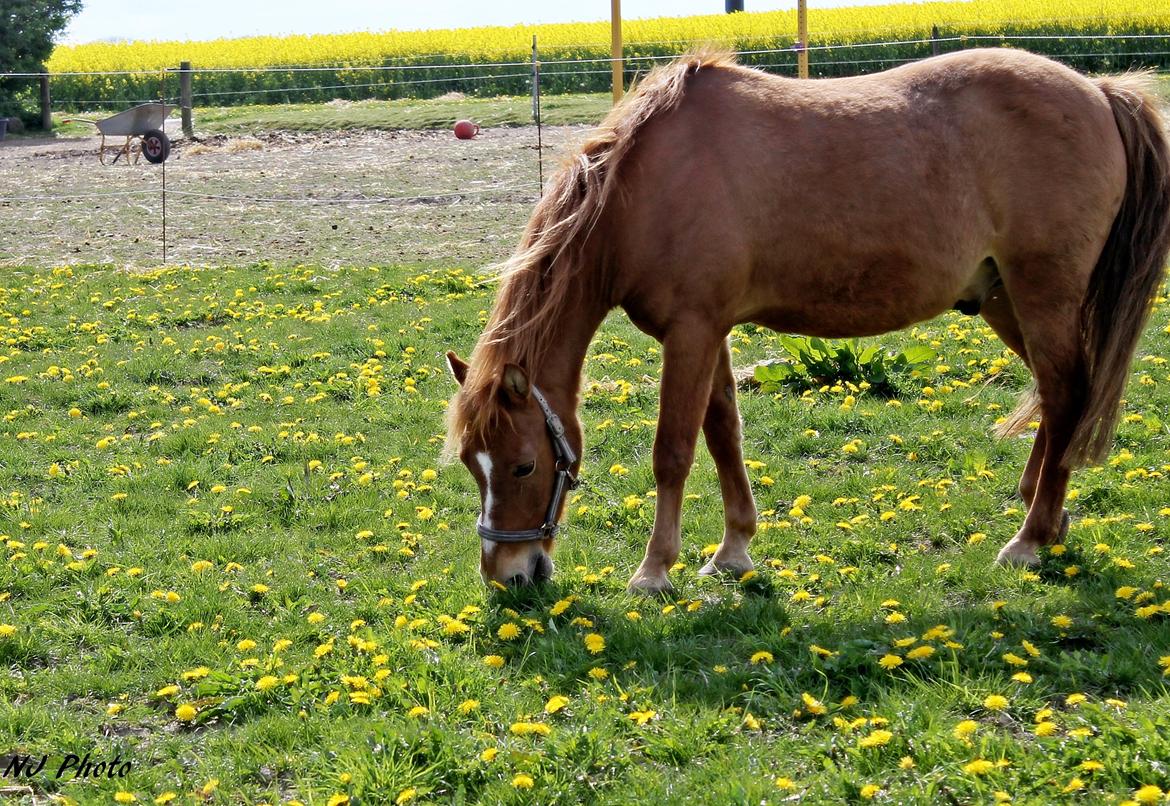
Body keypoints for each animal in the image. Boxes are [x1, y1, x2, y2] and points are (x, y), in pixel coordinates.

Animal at [439, 48, 1170, 591]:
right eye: (473, 465)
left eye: (523, 467)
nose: (508, 576)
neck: (645, 188)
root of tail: (1098, 91)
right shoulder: (711, 333)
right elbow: (724, 434)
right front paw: (732, 551)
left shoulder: (692, 331)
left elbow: (673, 451)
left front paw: (653, 570)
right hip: (1002, 300)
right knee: (1055, 393)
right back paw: (1044, 512)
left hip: (1043, 293)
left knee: (1068, 392)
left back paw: (1030, 538)